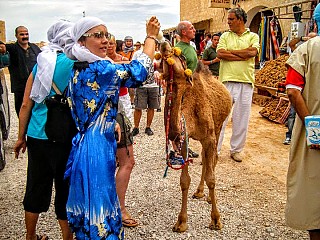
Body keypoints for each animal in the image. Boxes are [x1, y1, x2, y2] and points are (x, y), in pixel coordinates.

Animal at [159, 41, 232, 232]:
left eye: (181, 55)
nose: (164, 43)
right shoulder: (184, 140)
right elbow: (184, 181)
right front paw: (181, 222)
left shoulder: (210, 137)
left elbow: (211, 177)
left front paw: (216, 220)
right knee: (206, 160)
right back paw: (199, 192)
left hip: (219, 126)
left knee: (212, 160)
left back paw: (208, 197)